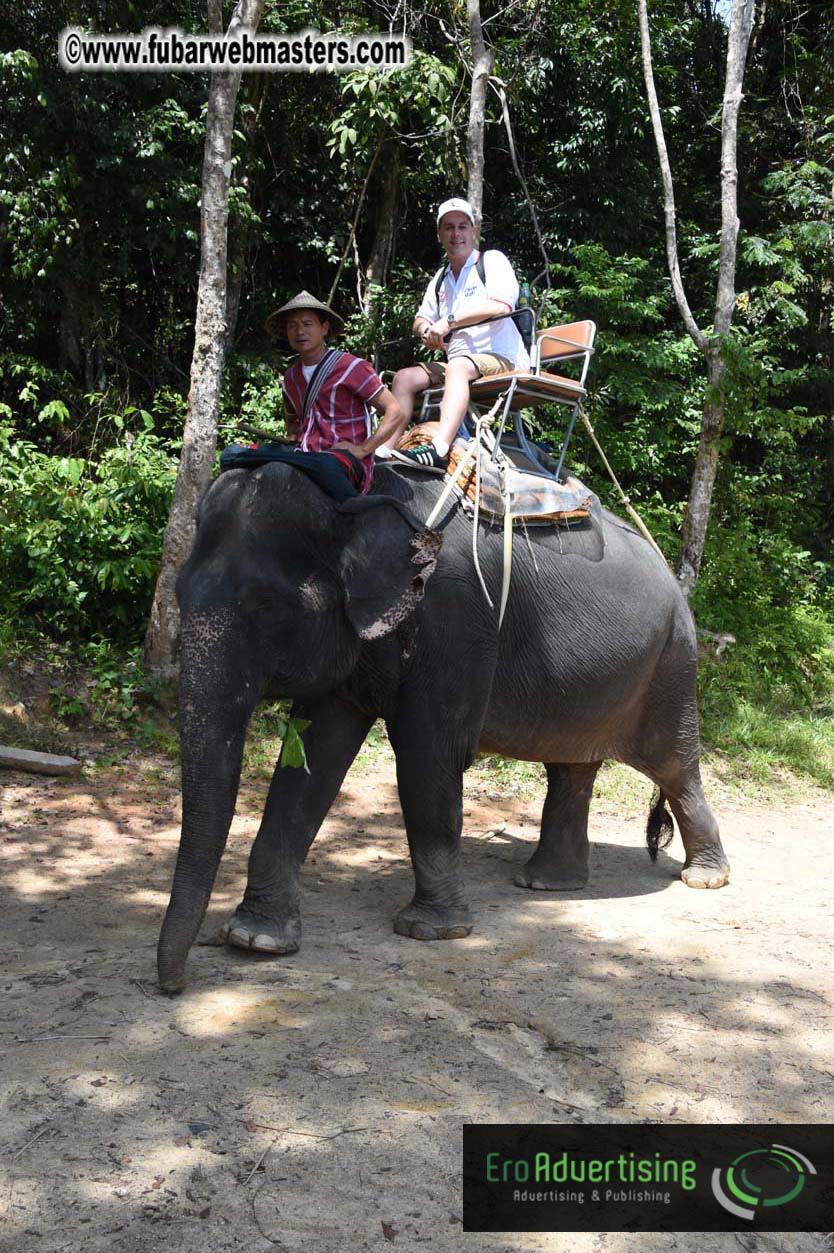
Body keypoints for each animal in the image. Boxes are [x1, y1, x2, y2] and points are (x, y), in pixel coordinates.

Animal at [157, 460, 730, 993]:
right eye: (177, 594)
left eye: (265, 605)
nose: (175, 985)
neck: (354, 500)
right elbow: (314, 753)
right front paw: (256, 940)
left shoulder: (455, 617)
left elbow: (428, 751)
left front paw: (430, 932)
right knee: (572, 768)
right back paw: (545, 884)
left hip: (672, 665)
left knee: (674, 767)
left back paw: (703, 878)